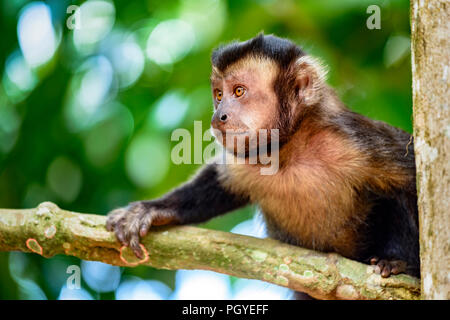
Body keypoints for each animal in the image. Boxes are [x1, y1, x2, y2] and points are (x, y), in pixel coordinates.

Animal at [107, 35, 420, 284]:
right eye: (218, 95)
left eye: (239, 91)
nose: (218, 116)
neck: (289, 149)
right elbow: (220, 183)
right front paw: (153, 209)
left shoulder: (353, 141)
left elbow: (413, 177)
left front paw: (405, 264)